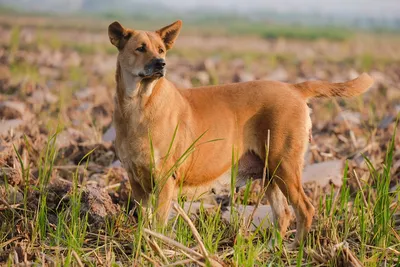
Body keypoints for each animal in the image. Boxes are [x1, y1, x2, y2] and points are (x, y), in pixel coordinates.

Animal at [108, 19, 374, 248]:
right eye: (140, 48)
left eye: (161, 50)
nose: (161, 63)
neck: (140, 104)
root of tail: (293, 88)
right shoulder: (136, 181)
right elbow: (145, 222)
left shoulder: (165, 179)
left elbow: (159, 225)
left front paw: (156, 249)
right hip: (270, 174)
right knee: (283, 214)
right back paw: (272, 249)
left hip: (285, 166)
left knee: (305, 209)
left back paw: (294, 250)